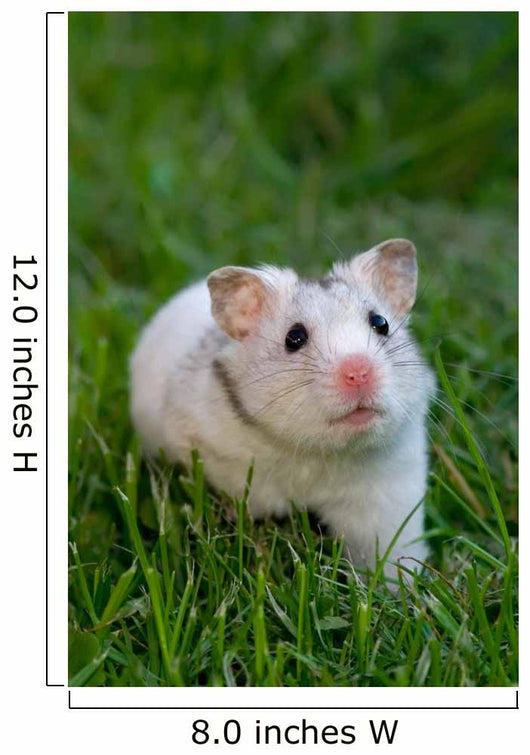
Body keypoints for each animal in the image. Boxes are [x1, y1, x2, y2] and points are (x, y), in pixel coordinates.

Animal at [130, 238, 435, 581]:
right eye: (295, 337)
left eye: (381, 323)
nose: (358, 372)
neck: (318, 452)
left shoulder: (389, 493)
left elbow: (388, 552)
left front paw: (400, 588)